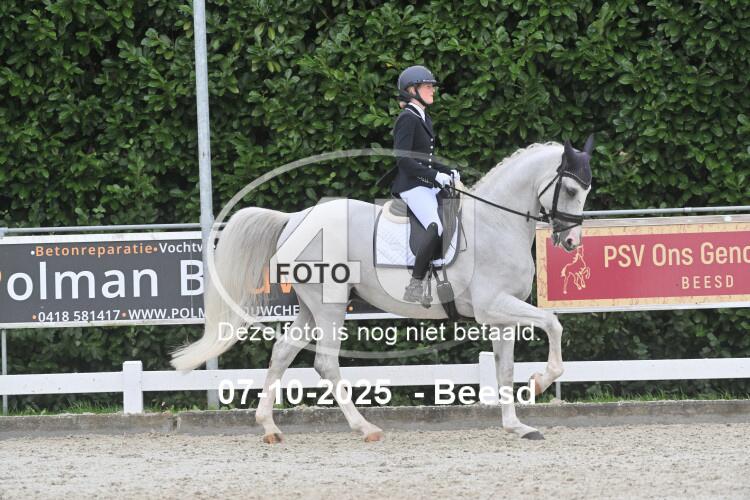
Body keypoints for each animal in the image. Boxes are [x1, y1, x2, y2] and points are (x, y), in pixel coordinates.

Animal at [171, 137, 594, 442]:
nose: (572, 242)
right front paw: (541, 380)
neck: (495, 222)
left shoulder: (500, 316)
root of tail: (295, 219)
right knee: (325, 363)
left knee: (282, 352)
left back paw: (270, 428)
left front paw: (517, 426)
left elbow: (504, 370)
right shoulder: (494, 306)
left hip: (311, 307)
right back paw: (365, 428)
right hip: (330, 306)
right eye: (573, 190)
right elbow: (553, 323)